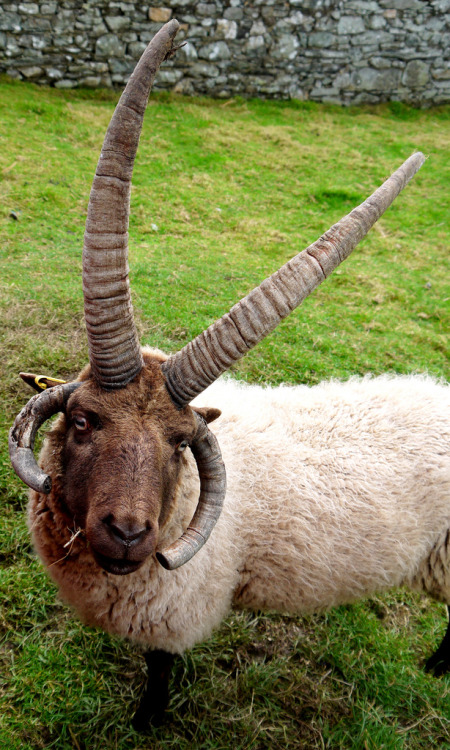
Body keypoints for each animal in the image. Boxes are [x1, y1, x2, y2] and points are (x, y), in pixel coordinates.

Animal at [8, 20, 448, 732]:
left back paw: (436, 668)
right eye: (82, 420)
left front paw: (147, 722)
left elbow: (160, 668)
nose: (130, 536)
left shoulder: (174, 608)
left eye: (178, 445)